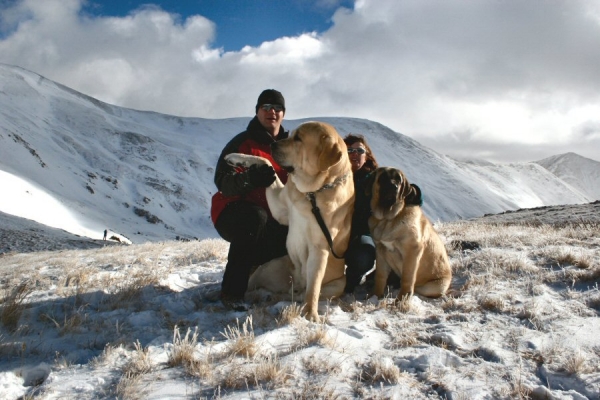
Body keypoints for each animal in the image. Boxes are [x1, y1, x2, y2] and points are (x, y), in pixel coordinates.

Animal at [227, 120, 354, 320]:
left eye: (298, 139)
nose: (273, 144)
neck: (312, 193)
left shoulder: (320, 248)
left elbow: (314, 287)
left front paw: (310, 314)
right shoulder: (281, 208)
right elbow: (265, 162)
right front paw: (235, 156)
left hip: (340, 282)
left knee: (304, 291)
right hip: (269, 267)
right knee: (255, 284)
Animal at [368, 167, 452, 302]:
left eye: (398, 179)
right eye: (383, 177)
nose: (394, 186)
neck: (388, 219)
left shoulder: (412, 251)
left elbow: (407, 278)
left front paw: (401, 300)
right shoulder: (380, 250)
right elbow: (380, 275)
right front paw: (375, 296)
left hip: (435, 286)